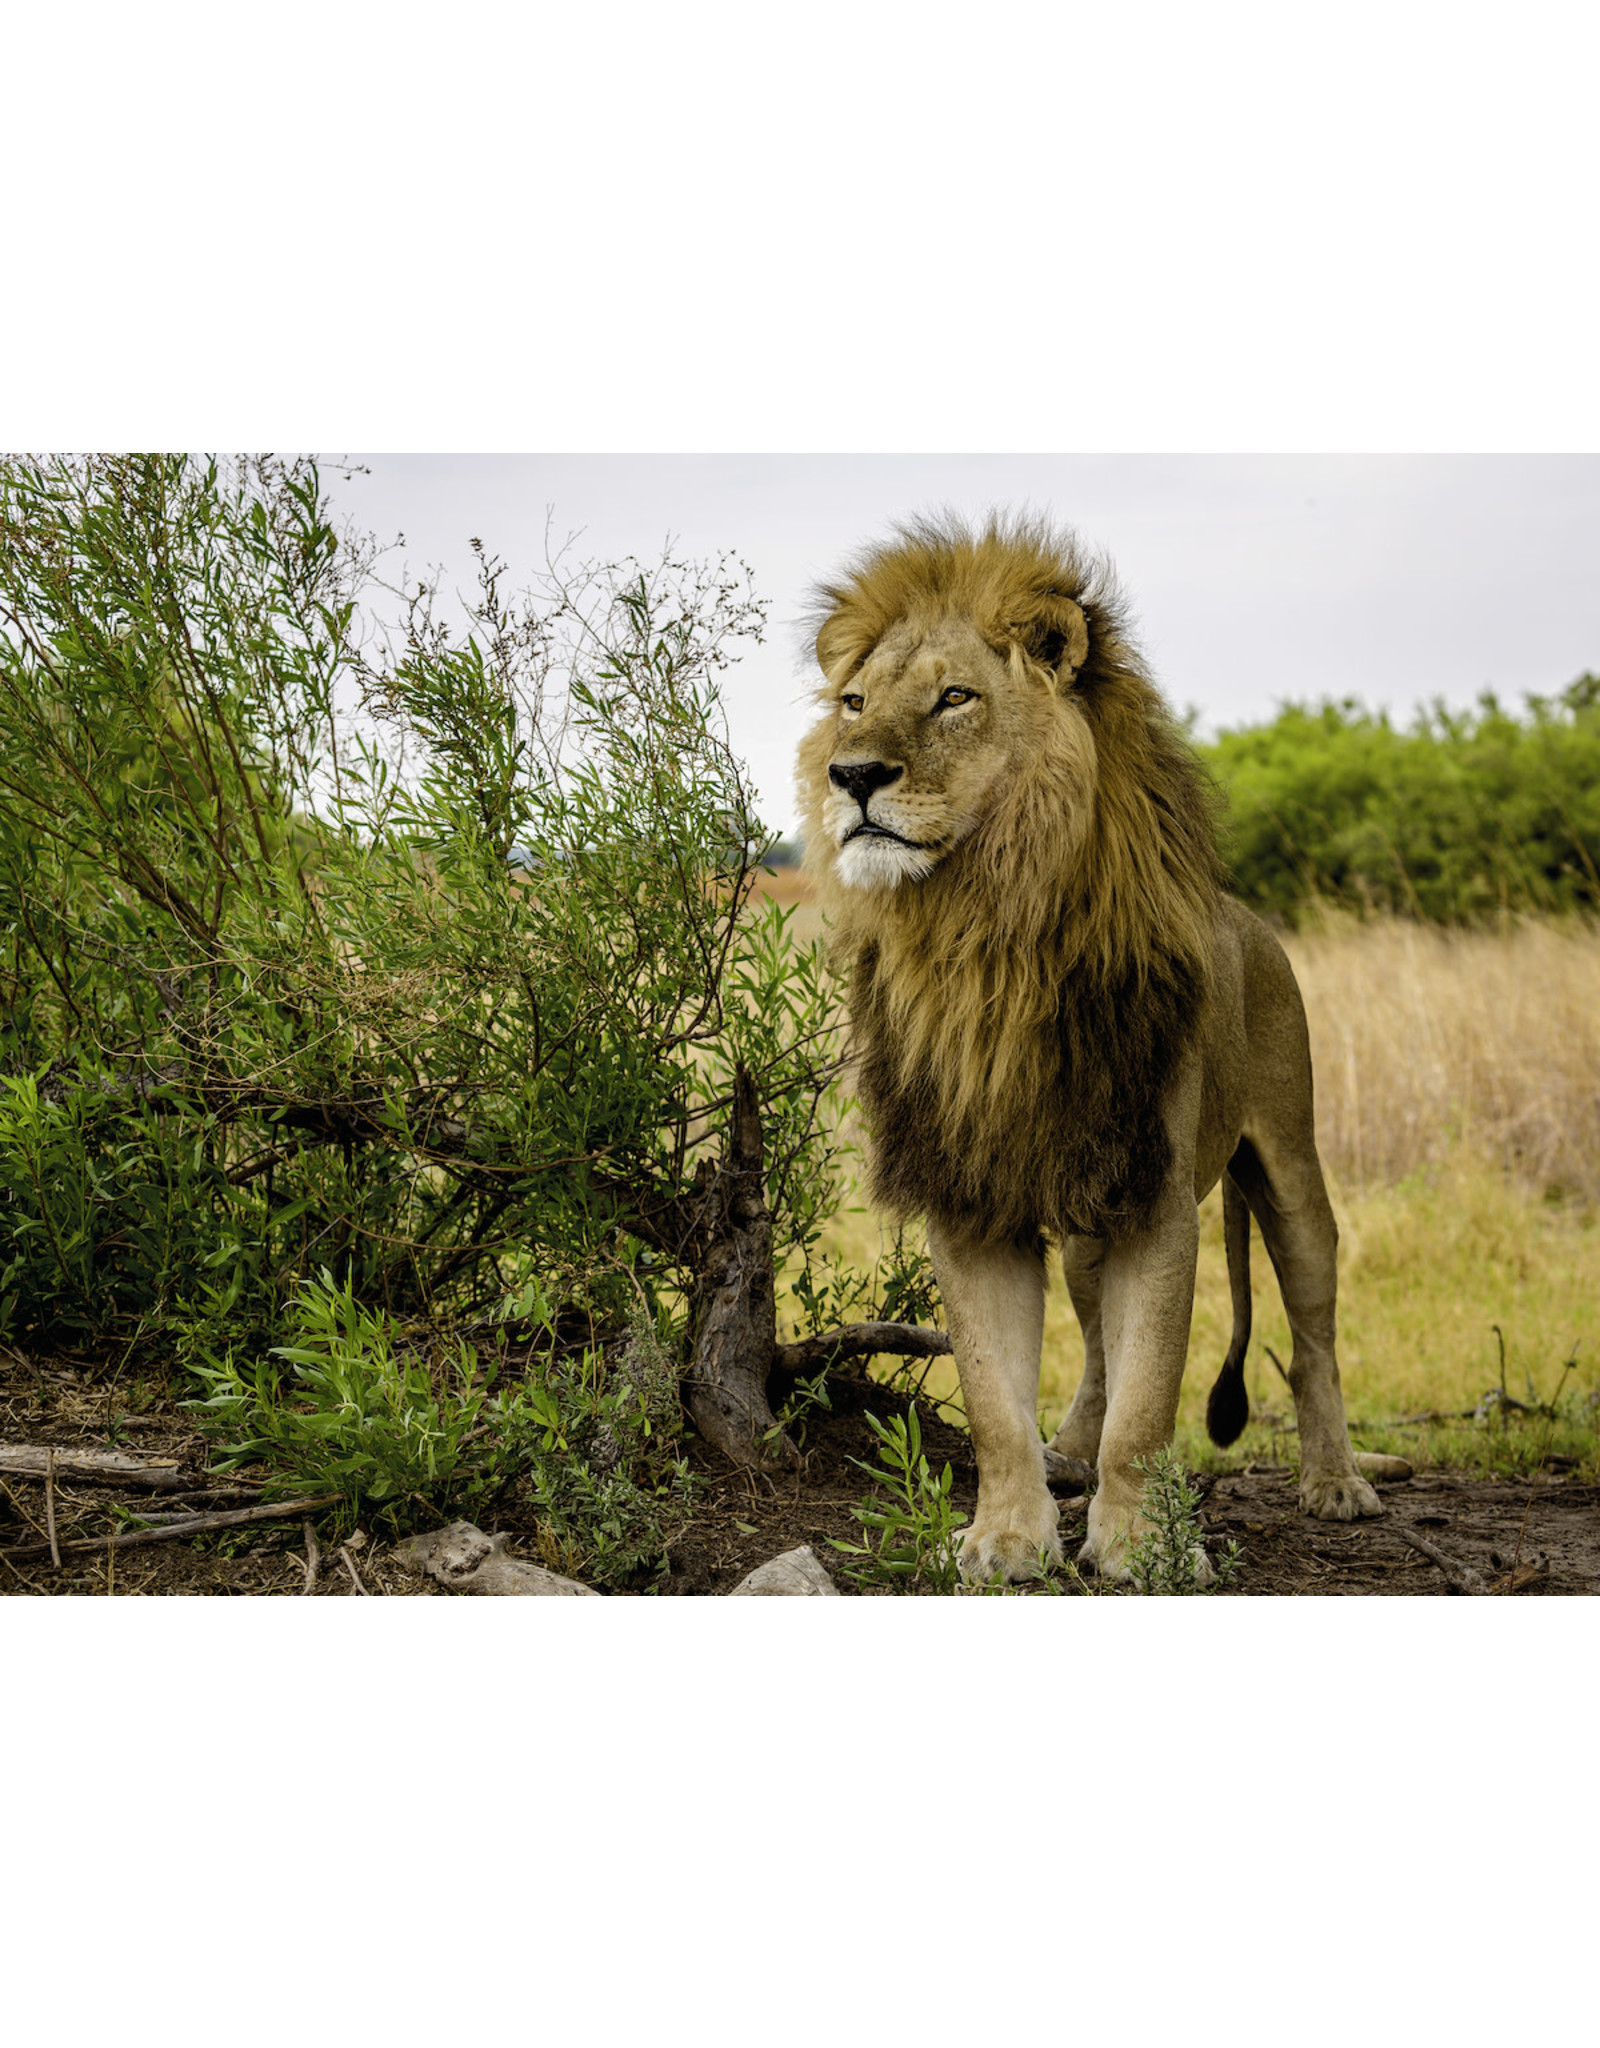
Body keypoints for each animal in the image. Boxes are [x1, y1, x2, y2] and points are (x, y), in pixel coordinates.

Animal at [797, 514, 1383, 1583]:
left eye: (954, 698)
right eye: (854, 704)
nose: (850, 775)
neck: (983, 933)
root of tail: (1252, 920)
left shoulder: (1156, 1200)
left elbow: (1152, 1398)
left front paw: (1143, 1550)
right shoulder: (974, 1196)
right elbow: (997, 1400)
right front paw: (1005, 1540)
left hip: (1288, 1164)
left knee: (1313, 1330)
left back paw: (1336, 1482)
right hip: (1083, 1224)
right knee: (1100, 1346)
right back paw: (1071, 1451)